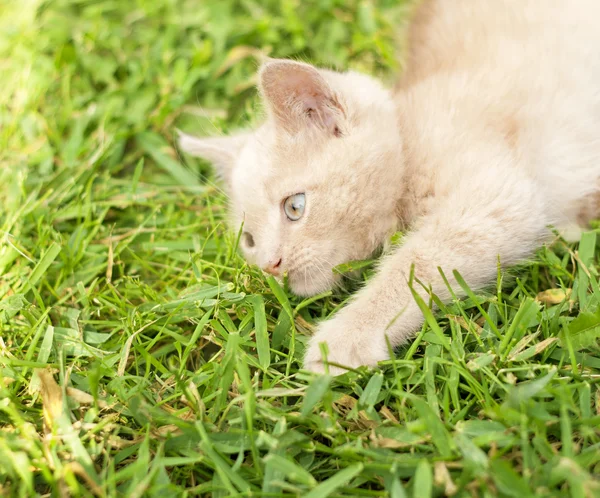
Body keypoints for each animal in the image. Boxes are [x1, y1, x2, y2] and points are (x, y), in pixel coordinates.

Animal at [178, 0, 600, 374]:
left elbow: (415, 264)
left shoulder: (495, 199)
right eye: (249, 241)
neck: (408, 138)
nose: (270, 265)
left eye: (294, 207)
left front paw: (346, 337)